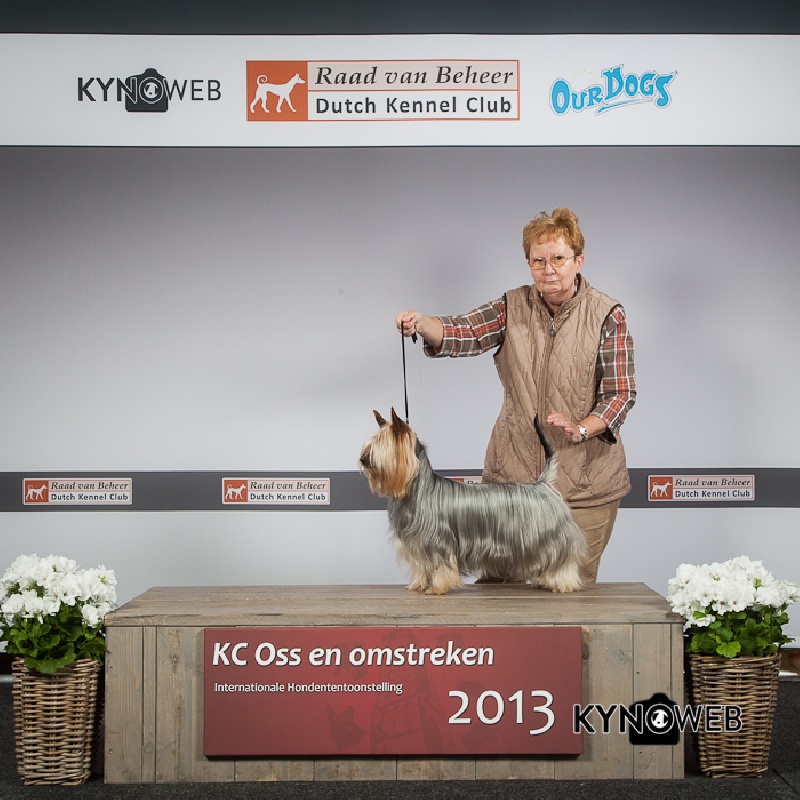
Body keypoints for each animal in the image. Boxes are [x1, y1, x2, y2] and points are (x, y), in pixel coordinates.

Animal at [359, 409, 587, 595]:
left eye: (381, 444)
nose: (362, 458)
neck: (417, 488)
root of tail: (543, 483)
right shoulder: (417, 541)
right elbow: (422, 565)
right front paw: (419, 584)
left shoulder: (439, 541)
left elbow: (441, 565)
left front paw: (437, 587)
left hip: (549, 536)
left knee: (562, 559)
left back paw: (562, 583)